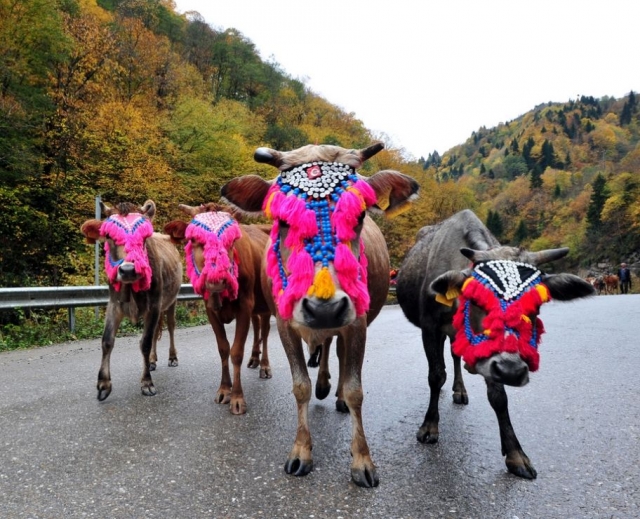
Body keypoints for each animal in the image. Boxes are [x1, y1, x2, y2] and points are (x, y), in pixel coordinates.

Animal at [81, 201, 182, 400]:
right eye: (108, 235)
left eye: (144, 237)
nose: (128, 270)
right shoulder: (114, 305)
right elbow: (107, 340)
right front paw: (103, 384)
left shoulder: (153, 306)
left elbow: (145, 342)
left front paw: (147, 383)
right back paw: (152, 361)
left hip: (171, 301)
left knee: (171, 327)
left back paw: (172, 358)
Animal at [164, 202, 272, 414]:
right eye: (193, 239)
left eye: (232, 240)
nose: (217, 278)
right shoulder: (210, 310)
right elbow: (223, 348)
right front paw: (224, 389)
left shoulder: (245, 306)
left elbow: (236, 351)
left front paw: (237, 398)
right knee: (257, 327)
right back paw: (254, 359)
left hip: (267, 304)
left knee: (265, 330)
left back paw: (264, 366)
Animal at [220, 141, 420, 488]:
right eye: (283, 221)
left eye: (359, 215)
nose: (324, 306)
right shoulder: (284, 323)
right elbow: (300, 386)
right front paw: (301, 451)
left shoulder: (357, 323)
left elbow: (355, 390)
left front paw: (362, 460)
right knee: (325, 345)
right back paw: (324, 384)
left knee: (336, 351)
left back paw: (333, 391)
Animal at [396, 210, 596, 480]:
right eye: (477, 297)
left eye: (537, 303)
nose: (512, 371)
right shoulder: (429, 327)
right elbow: (436, 376)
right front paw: (429, 427)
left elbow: (499, 396)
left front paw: (515, 453)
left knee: (455, 356)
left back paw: (460, 390)